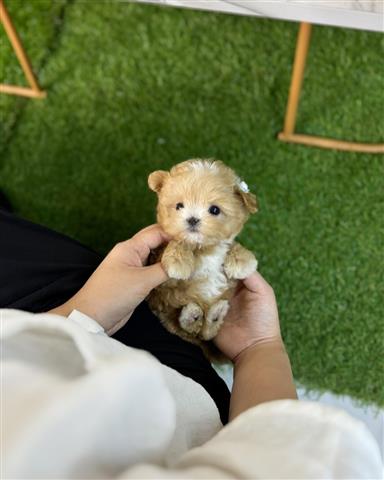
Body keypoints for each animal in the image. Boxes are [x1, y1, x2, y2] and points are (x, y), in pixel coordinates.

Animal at [147, 158, 258, 360]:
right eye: (179, 206)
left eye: (214, 209)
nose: (192, 219)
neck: (203, 248)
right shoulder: (162, 282)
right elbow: (176, 247)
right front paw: (178, 261)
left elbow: (231, 247)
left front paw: (243, 261)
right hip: (167, 313)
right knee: (189, 330)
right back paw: (193, 315)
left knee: (207, 333)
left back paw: (215, 314)